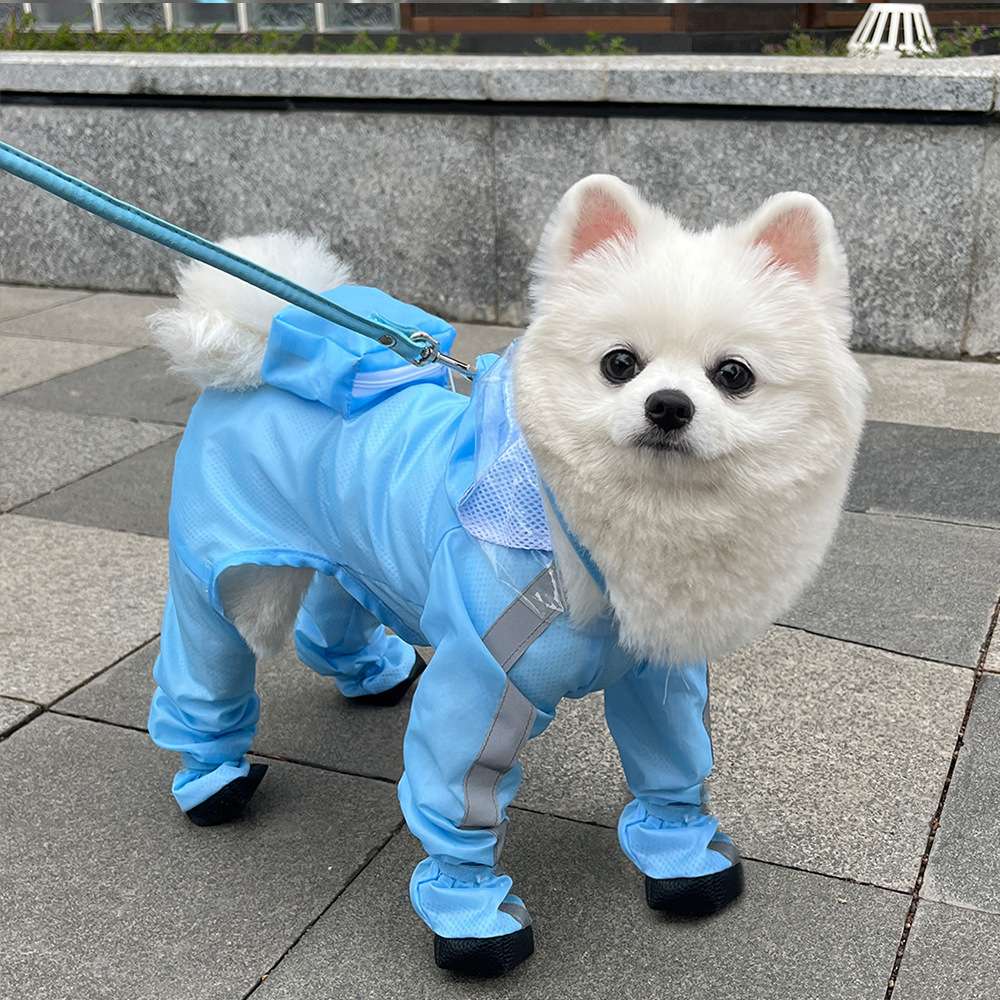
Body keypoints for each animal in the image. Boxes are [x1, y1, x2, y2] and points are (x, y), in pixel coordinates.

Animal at [148, 174, 868, 976]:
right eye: (620, 364)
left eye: (733, 376)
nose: (669, 405)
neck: (593, 533)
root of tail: (254, 340)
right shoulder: (482, 678)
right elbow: (458, 803)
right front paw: (471, 916)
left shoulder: (659, 678)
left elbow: (674, 763)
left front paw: (682, 857)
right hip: (218, 577)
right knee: (206, 666)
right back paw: (212, 779)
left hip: (348, 550)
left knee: (330, 613)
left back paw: (372, 672)